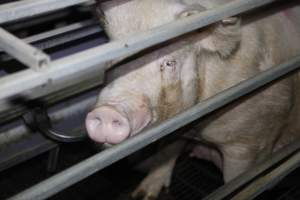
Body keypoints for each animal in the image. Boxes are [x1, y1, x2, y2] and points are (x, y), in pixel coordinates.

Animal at [85, 0, 300, 198]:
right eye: (110, 63)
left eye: (170, 63)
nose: (108, 111)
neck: (197, 128)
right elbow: (166, 154)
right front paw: (142, 195)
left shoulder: (248, 144)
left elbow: (237, 184)